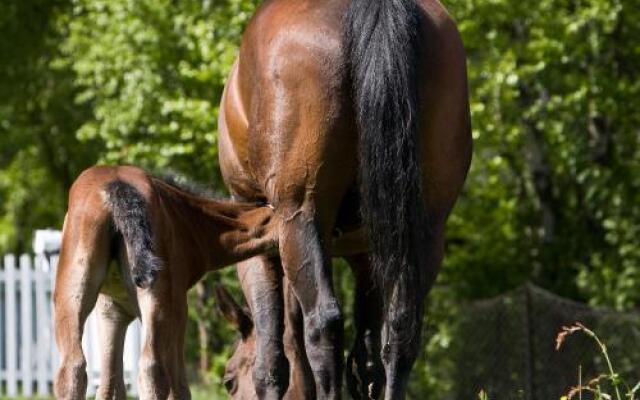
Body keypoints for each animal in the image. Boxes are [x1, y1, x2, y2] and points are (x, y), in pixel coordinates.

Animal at [52, 164, 278, 398]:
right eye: (229, 381)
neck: (189, 223)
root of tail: (116, 187)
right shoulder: (179, 307)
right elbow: (178, 385)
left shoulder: (111, 310)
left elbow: (110, 385)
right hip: (159, 300)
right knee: (152, 369)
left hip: (73, 294)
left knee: (72, 368)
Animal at [218, 0, 472, 396]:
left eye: (229, 380)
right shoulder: (365, 254)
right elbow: (365, 362)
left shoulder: (259, 238)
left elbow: (272, 359)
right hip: (425, 230)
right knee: (401, 327)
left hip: (303, 215)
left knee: (323, 325)